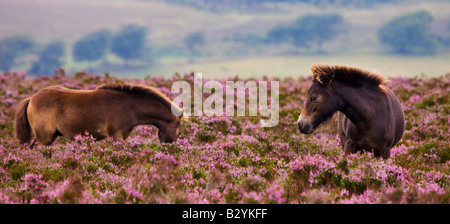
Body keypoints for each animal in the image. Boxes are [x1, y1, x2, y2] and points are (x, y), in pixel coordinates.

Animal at [14, 83, 186, 146]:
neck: (129, 106)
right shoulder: (115, 135)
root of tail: (31, 99)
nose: (171, 149)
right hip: (45, 137)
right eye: (179, 132)